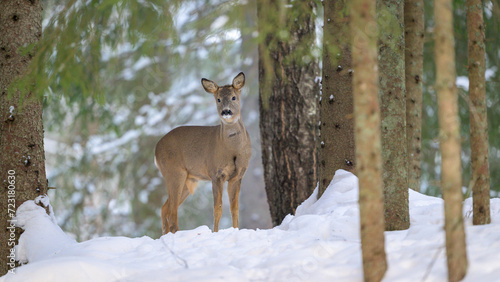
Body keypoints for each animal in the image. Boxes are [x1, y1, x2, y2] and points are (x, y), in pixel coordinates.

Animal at [154, 72, 252, 234]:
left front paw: (236, 230)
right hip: (174, 172)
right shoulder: (216, 174)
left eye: (234, 97)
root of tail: (156, 149)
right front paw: (216, 232)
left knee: (165, 208)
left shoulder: (238, 176)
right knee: (172, 211)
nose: (226, 111)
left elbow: (235, 208)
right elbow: (218, 208)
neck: (232, 150)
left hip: (188, 180)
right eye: (218, 99)